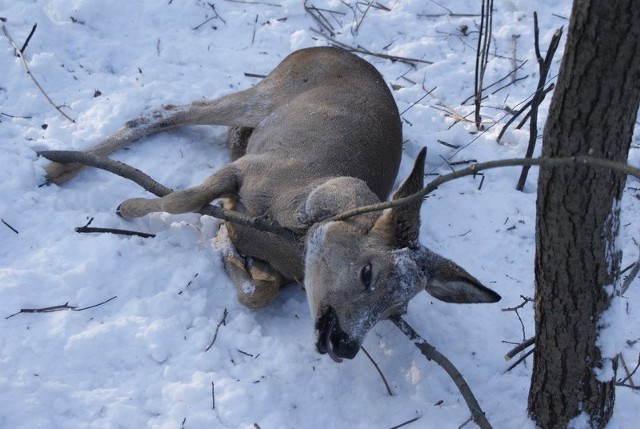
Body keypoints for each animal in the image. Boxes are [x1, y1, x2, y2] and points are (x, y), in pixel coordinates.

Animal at [45, 46, 500, 362]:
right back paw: (59, 164)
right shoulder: (253, 167)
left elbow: (257, 292)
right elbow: (182, 199)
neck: (285, 225)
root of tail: (326, 48)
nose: (346, 345)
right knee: (170, 111)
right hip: (269, 93)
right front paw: (128, 206)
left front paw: (228, 249)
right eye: (367, 272)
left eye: (397, 309)